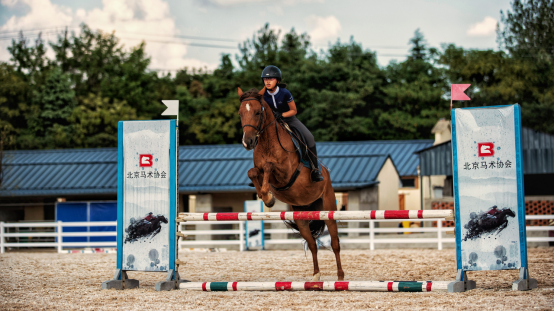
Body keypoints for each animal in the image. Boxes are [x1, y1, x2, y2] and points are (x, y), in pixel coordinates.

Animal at [235, 86, 342, 282]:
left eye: (257, 112)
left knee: (335, 243)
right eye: (240, 113)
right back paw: (316, 276)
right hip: (301, 217)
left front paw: (268, 196)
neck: (267, 142)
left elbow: (269, 167)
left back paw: (340, 276)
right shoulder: (260, 170)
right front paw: (265, 196)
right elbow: (253, 172)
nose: (248, 142)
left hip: (328, 208)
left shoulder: (285, 174)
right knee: (312, 244)